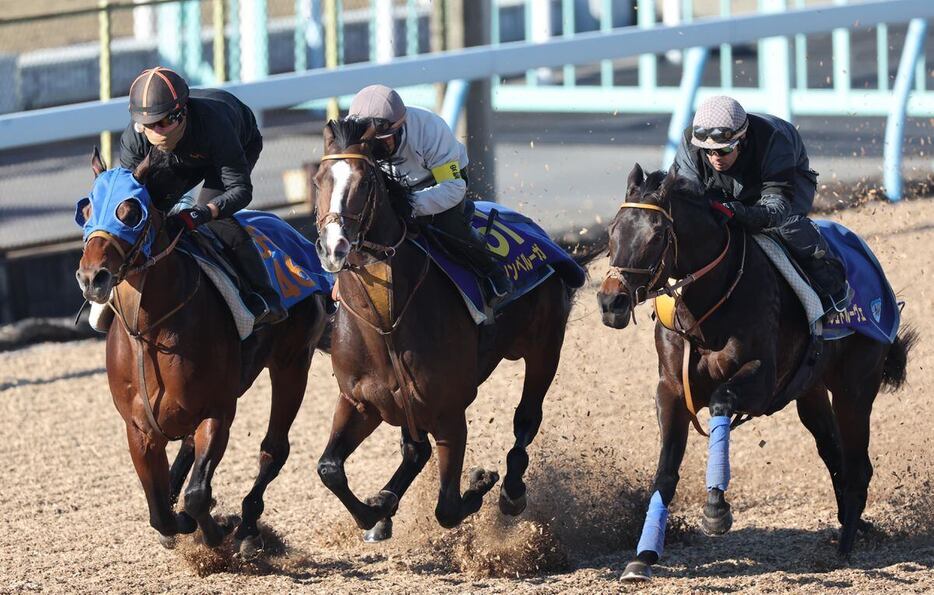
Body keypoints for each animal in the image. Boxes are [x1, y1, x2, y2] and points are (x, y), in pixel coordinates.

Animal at [74, 150, 330, 560]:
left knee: (274, 449)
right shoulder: (139, 428)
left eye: (130, 212)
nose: (91, 277)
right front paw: (179, 522)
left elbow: (196, 494)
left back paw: (247, 528)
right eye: (85, 210)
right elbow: (160, 512)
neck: (150, 331)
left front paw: (215, 531)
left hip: (292, 362)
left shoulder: (218, 410)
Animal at [308, 118, 600, 544]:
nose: (334, 247)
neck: (385, 323)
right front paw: (376, 510)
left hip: (545, 348)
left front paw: (480, 483)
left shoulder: (449, 413)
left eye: (365, 182)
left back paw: (512, 490)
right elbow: (329, 468)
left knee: (526, 418)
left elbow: (446, 507)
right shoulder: (359, 402)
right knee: (415, 451)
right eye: (318, 180)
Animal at [596, 164, 916, 584]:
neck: (706, 309)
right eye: (613, 230)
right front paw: (643, 557)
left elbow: (720, 401)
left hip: (856, 387)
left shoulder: (762, 382)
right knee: (834, 454)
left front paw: (716, 509)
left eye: (657, 235)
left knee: (858, 467)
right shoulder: (671, 389)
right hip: (811, 390)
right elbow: (665, 471)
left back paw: (844, 550)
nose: (611, 302)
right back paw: (853, 526)